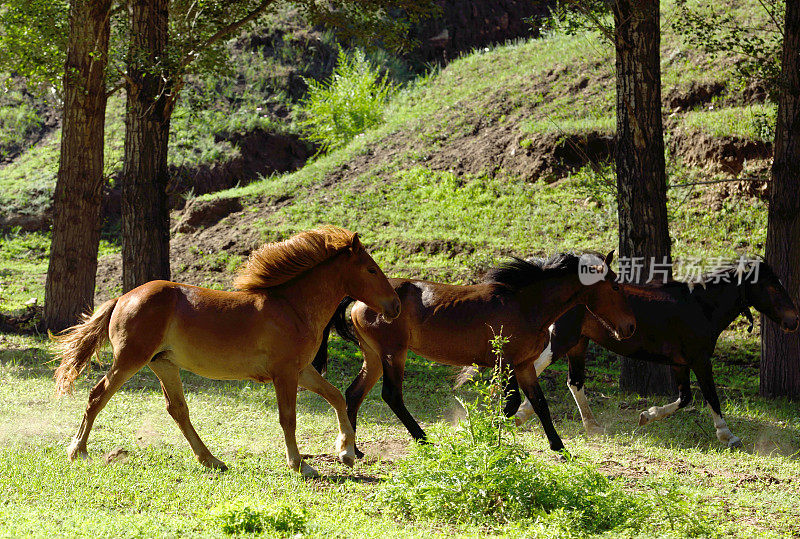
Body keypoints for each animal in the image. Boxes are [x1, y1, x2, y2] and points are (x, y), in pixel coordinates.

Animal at [51, 226, 400, 478]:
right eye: (371, 269)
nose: (395, 306)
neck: (292, 307)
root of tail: (121, 299)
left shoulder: (302, 370)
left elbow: (336, 397)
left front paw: (346, 452)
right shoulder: (285, 374)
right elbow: (288, 418)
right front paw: (301, 464)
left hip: (164, 365)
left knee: (178, 411)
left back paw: (212, 460)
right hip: (129, 361)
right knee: (97, 396)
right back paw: (78, 450)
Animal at [314, 253, 644, 456]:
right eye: (615, 286)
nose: (630, 326)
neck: (525, 305)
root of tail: (358, 299)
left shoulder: (524, 365)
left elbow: (539, 404)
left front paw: (560, 448)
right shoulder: (505, 362)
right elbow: (511, 404)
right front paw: (481, 434)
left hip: (373, 356)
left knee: (353, 394)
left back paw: (353, 450)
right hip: (393, 354)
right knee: (391, 395)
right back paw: (424, 440)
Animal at [512, 260, 800, 450]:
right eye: (773, 287)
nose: (794, 320)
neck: (701, 307)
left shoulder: (680, 364)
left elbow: (685, 398)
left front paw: (647, 416)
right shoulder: (700, 360)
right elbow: (711, 396)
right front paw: (727, 435)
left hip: (578, 343)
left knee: (574, 382)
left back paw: (590, 426)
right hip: (563, 339)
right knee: (536, 367)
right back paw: (521, 413)